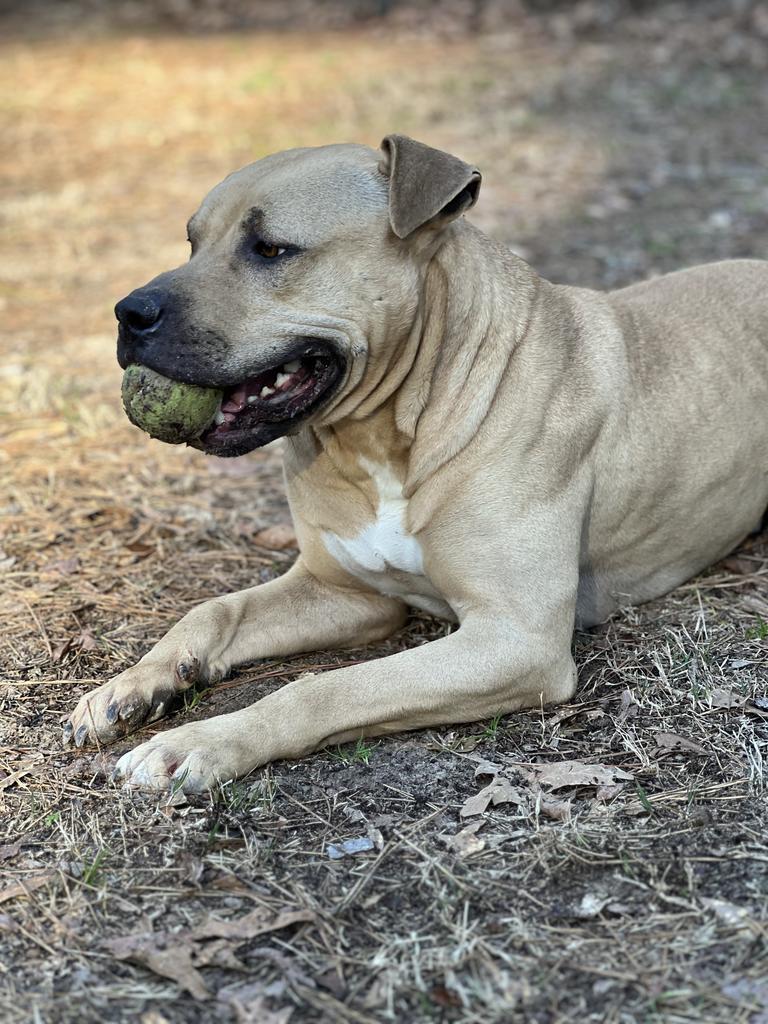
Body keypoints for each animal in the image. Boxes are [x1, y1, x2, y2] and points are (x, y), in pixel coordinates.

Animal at [61, 136, 768, 790]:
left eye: (271, 249)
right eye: (191, 243)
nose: (128, 312)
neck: (389, 437)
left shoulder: (516, 639)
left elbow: (324, 686)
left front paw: (204, 740)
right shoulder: (347, 594)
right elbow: (214, 610)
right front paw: (136, 683)